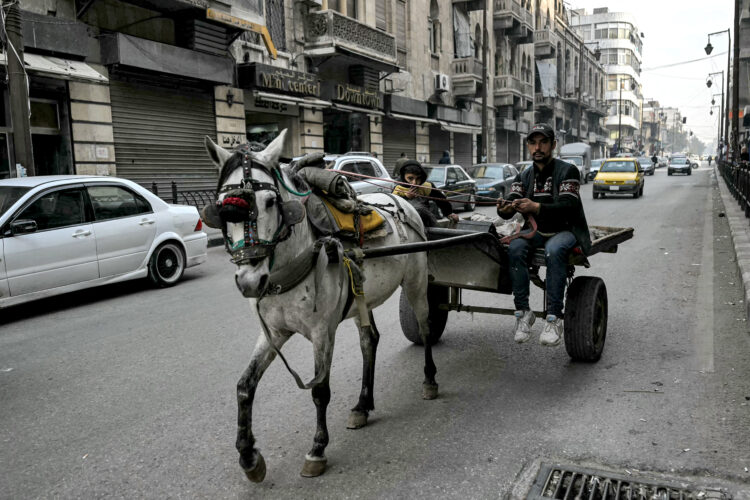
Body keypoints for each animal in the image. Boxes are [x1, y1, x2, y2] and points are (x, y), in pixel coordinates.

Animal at [204, 131, 440, 482]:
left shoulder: (322, 332)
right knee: (369, 341)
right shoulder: (273, 331)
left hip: (416, 284)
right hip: (363, 298)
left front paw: (317, 449)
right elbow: (245, 385)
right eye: (222, 207)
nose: (249, 281)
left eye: (270, 201)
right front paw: (248, 457)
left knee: (425, 329)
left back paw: (429, 381)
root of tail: (403, 202)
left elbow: (319, 390)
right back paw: (362, 405)